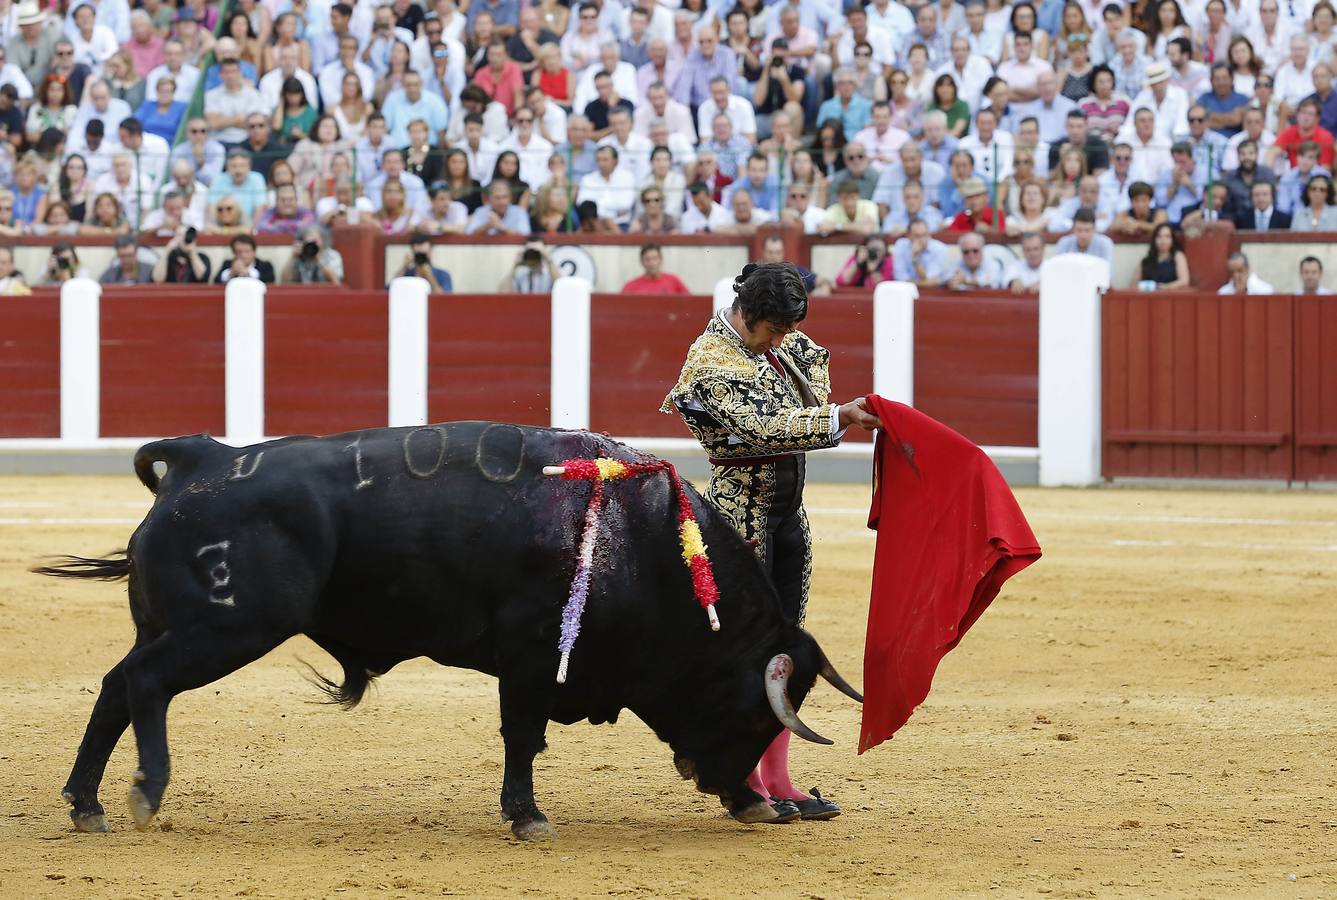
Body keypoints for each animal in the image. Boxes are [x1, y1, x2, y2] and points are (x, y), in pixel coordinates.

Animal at [36, 425, 861, 839]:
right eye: (752, 711)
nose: (754, 801)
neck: (640, 538)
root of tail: (203, 460)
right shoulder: (531, 654)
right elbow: (522, 735)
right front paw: (527, 817)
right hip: (229, 626)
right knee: (145, 685)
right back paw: (144, 793)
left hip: (170, 626)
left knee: (115, 687)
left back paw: (86, 805)